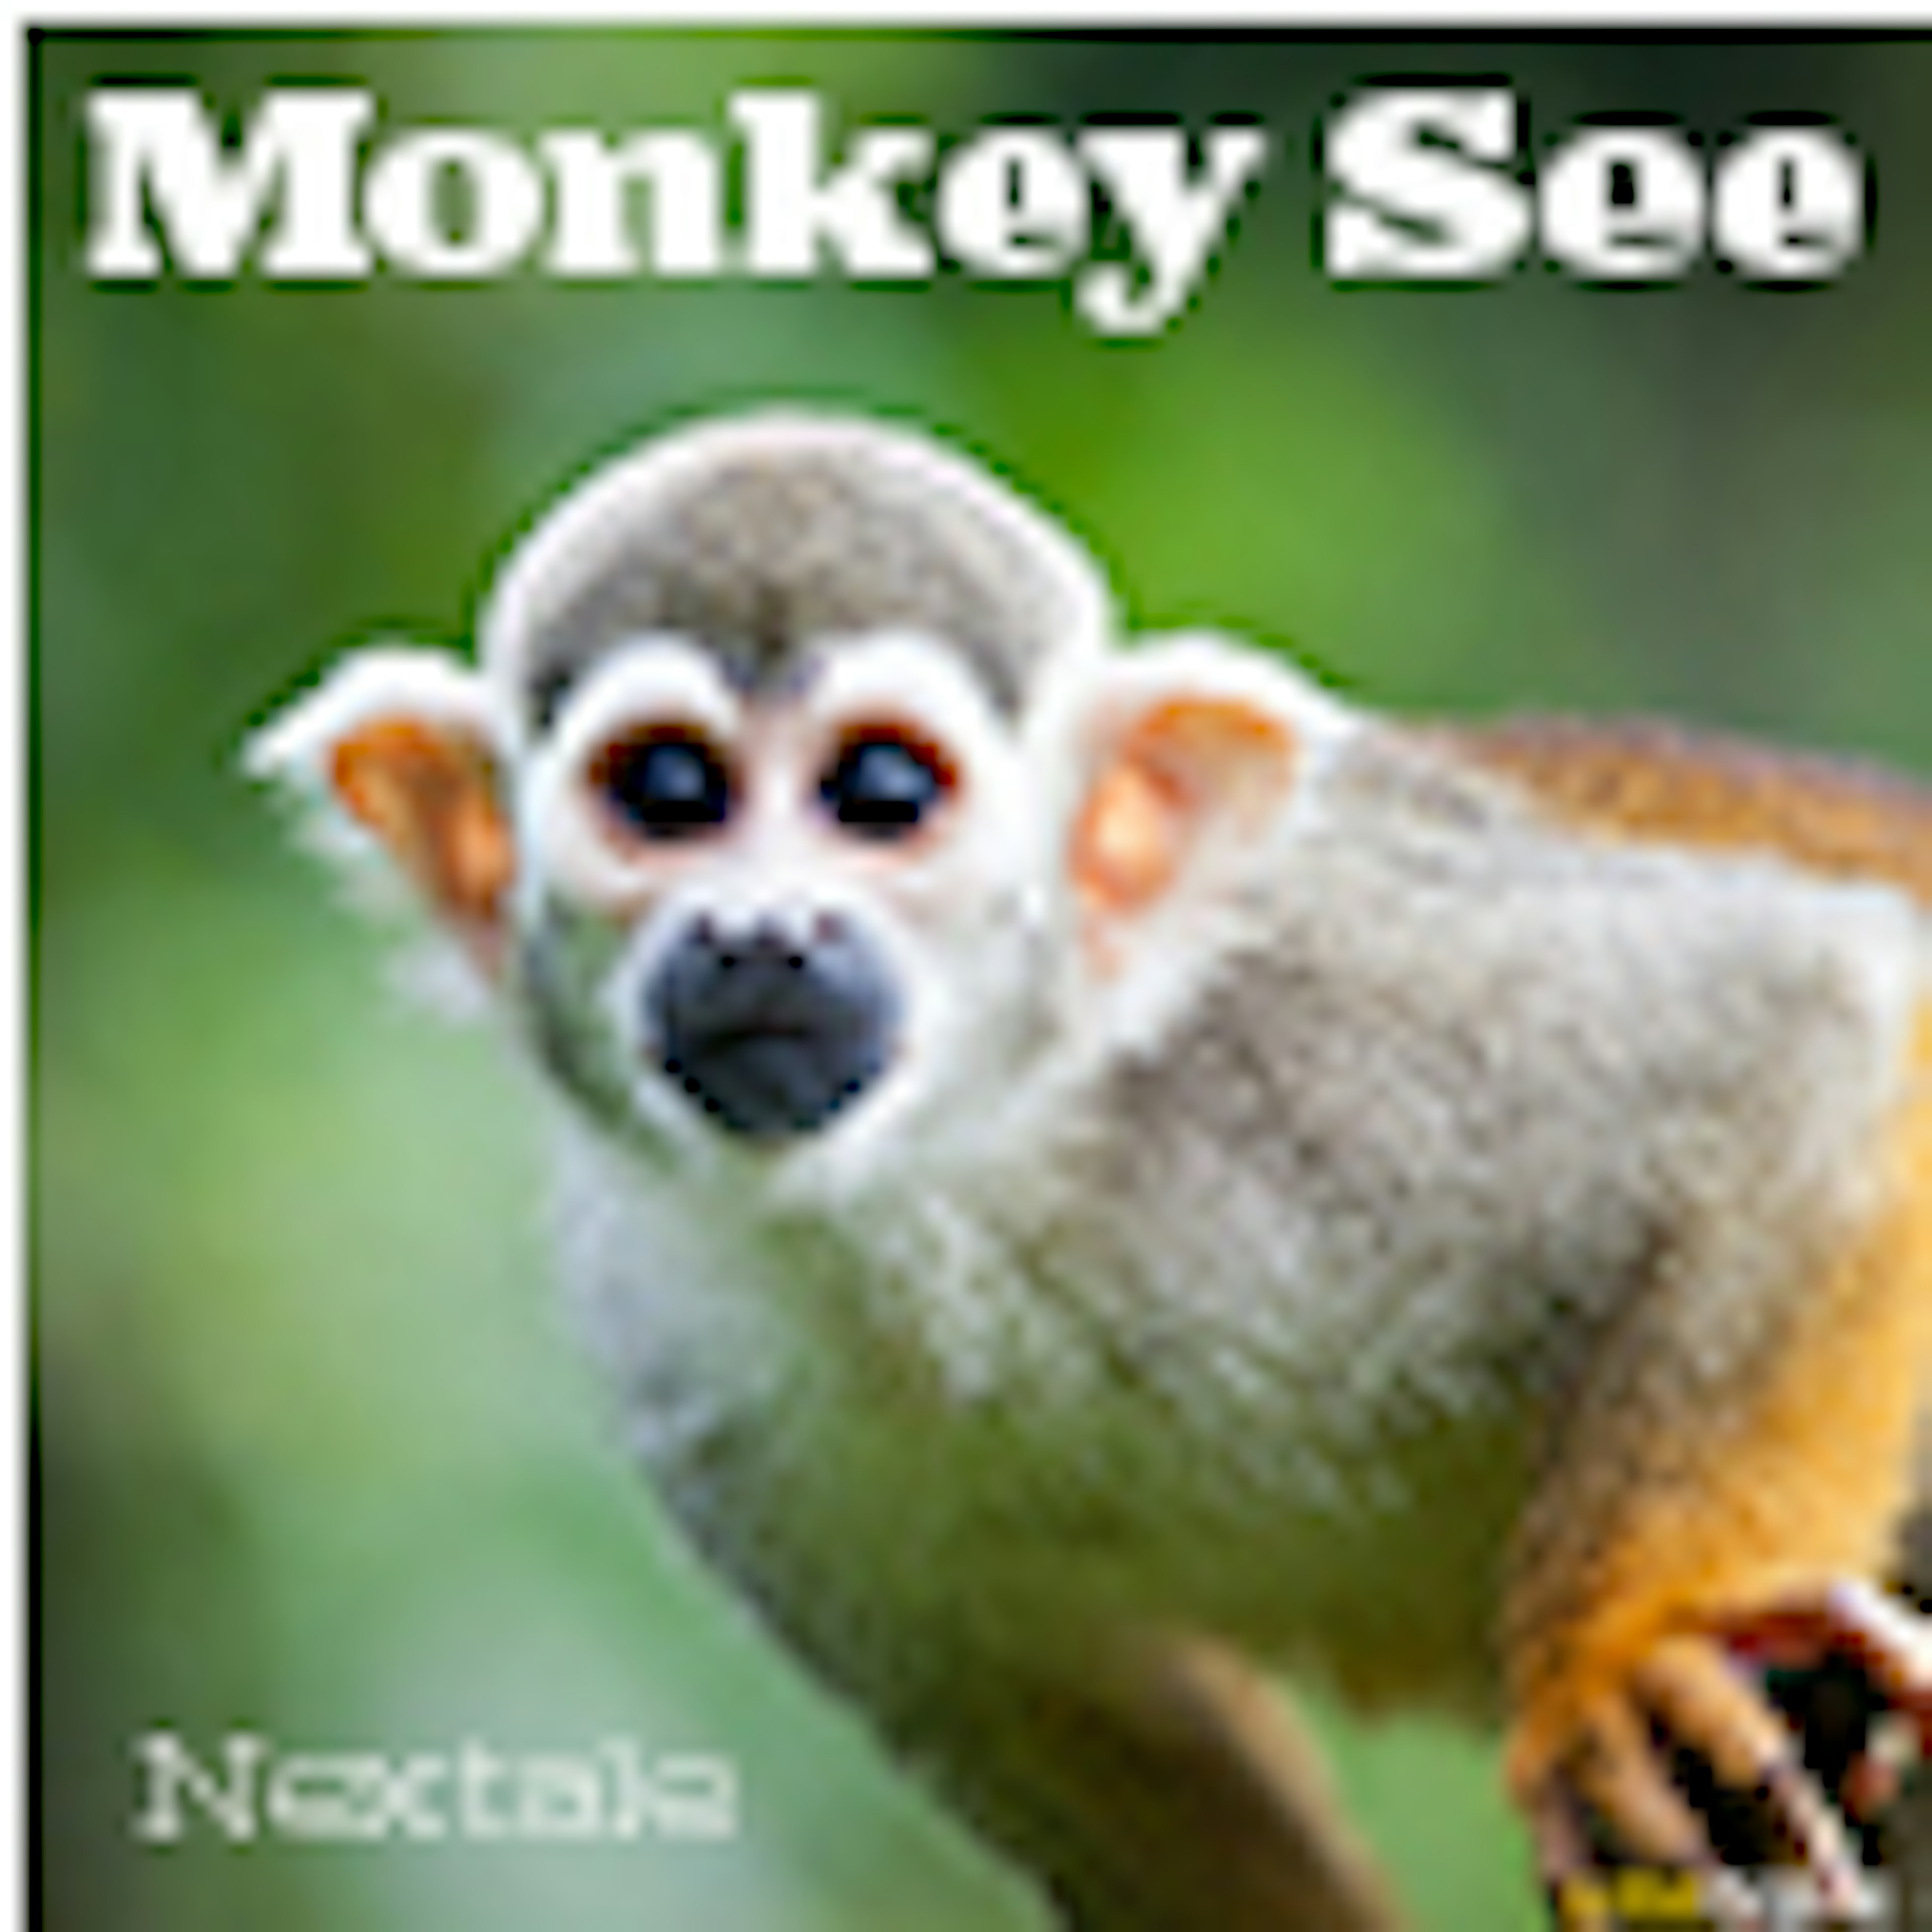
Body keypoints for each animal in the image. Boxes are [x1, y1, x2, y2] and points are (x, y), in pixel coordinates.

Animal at [249, 406, 1932, 1932]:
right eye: (667, 792)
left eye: (879, 793)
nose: (762, 934)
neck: (966, 1176)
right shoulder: (677, 1340)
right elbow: (1115, 1755)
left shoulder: (1326, 1043)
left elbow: (1808, 1024)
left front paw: (1627, 1660)